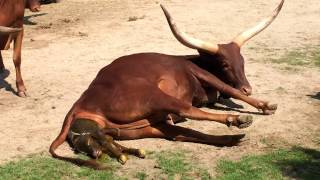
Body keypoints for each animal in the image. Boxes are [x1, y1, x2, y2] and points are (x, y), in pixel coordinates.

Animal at [48, 0, 284, 169]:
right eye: (225, 64)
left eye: (243, 62)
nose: (248, 88)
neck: (191, 60)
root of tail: (79, 105)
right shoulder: (199, 73)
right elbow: (228, 89)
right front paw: (265, 105)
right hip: (154, 97)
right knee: (187, 111)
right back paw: (236, 121)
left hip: (143, 128)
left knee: (181, 134)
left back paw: (232, 139)